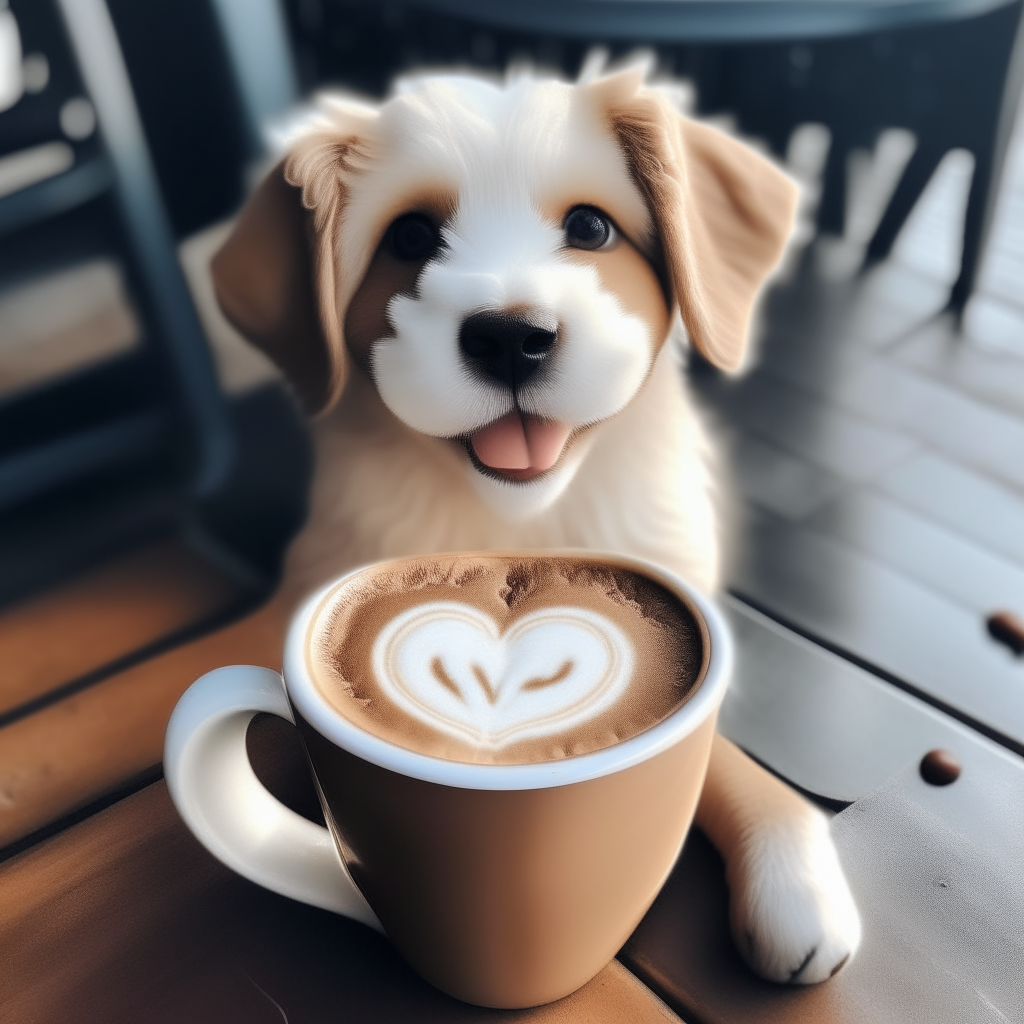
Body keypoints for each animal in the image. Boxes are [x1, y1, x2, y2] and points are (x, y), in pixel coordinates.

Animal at [214, 61, 864, 983]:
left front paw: (794, 876)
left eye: (591, 227)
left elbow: (725, 754)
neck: (523, 519)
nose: (511, 338)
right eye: (409, 239)